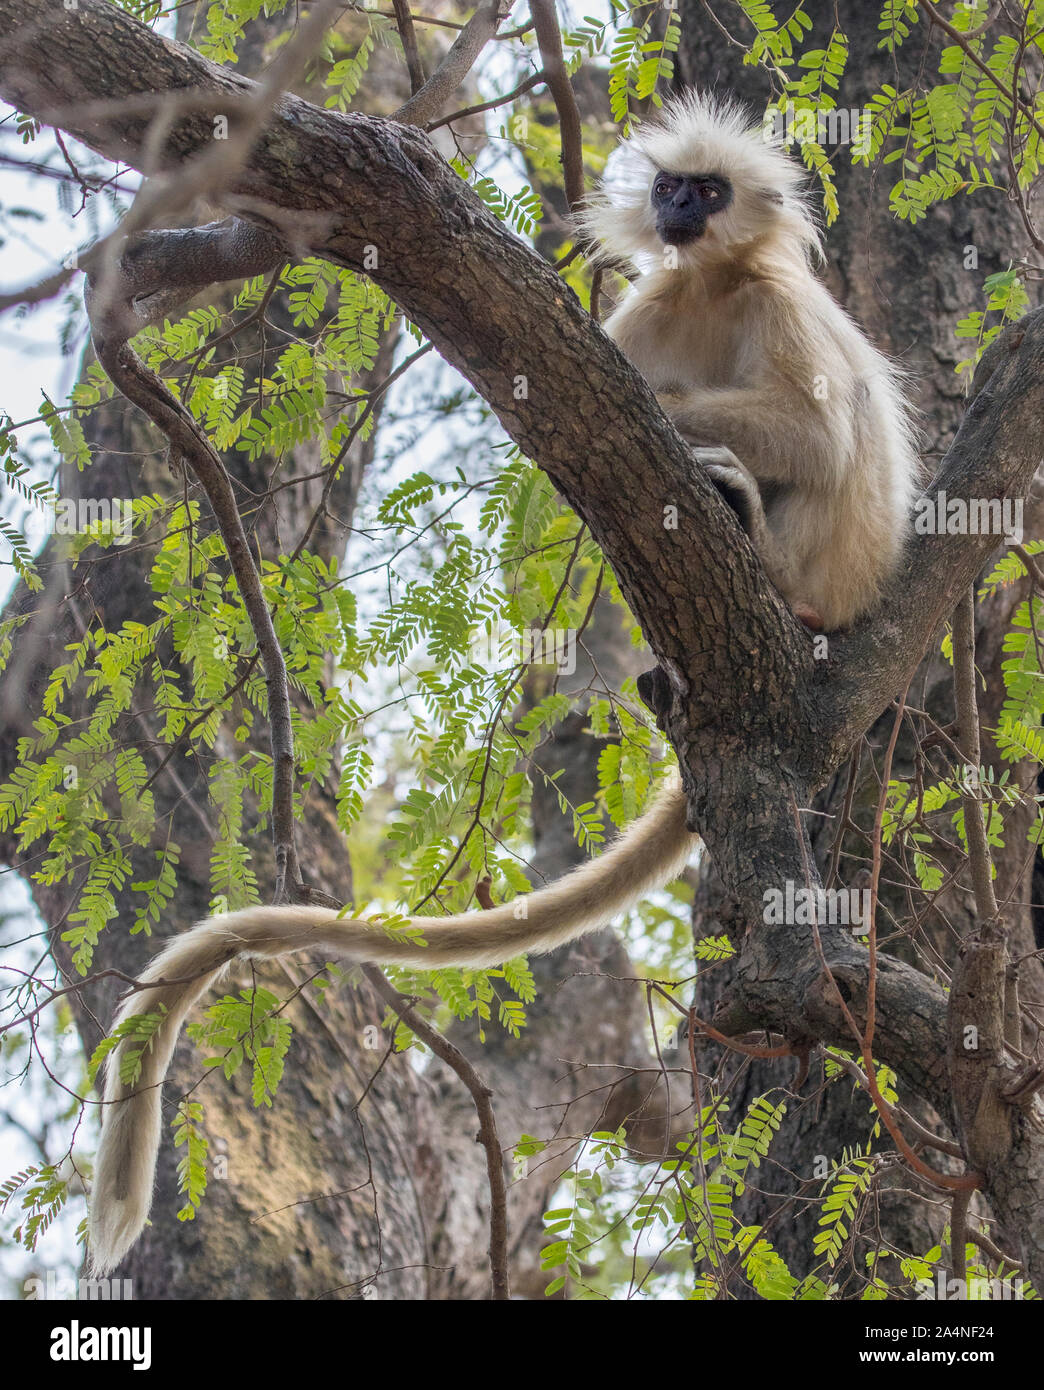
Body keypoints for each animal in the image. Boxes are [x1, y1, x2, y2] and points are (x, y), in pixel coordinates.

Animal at [87, 92, 919, 1276]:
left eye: (708, 191)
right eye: (674, 187)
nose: (678, 207)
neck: (712, 283)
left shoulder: (774, 295)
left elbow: (812, 426)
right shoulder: (660, 299)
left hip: (822, 572)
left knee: (803, 455)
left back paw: (746, 528)